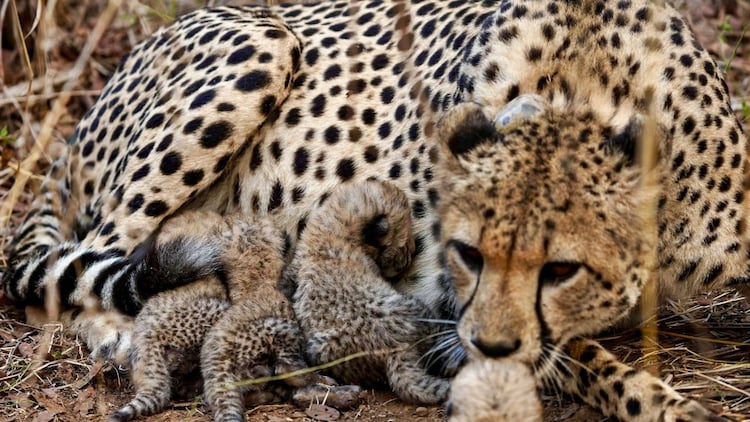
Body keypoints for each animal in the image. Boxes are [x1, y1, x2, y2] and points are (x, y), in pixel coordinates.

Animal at [2, 0, 747, 420]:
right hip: (263, 42)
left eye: (561, 269)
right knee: (103, 259)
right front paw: (667, 404)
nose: (485, 344)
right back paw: (131, 339)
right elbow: (587, 361)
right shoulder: (447, 302)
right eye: (468, 254)